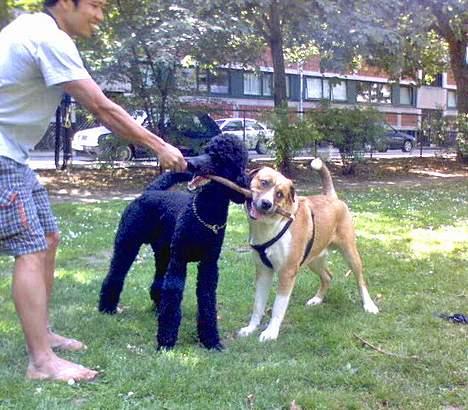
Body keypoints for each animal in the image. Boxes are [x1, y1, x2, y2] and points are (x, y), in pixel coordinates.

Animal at [239, 159, 378, 342]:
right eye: (264, 182)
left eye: (280, 194)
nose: (266, 204)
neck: (273, 225)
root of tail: (331, 197)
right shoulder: (263, 271)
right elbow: (258, 305)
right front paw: (251, 328)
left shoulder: (287, 273)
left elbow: (278, 307)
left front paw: (271, 332)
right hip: (314, 259)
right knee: (328, 276)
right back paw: (317, 299)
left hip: (350, 253)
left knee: (360, 280)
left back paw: (369, 305)